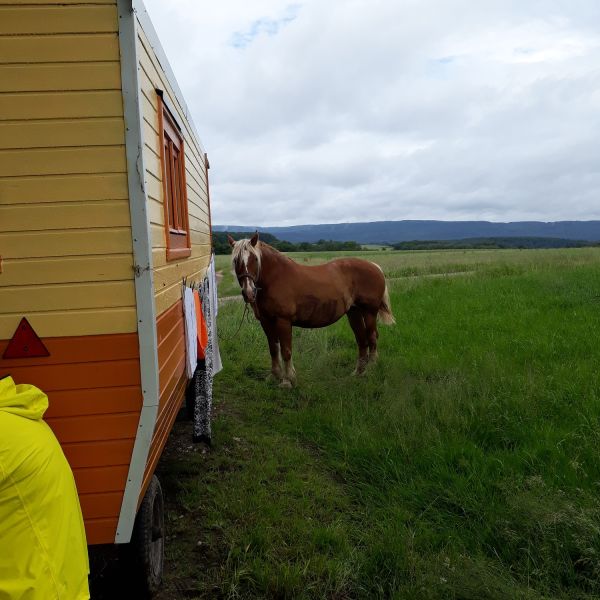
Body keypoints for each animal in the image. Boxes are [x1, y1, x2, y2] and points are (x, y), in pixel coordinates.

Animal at [227, 232, 396, 386]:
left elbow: (286, 351)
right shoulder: (266, 321)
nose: (249, 292)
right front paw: (275, 376)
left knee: (372, 337)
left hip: (369, 312)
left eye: (255, 259)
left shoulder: (283, 321)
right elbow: (273, 349)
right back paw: (358, 372)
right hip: (354, 312)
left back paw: (371, 369)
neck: (274, 279)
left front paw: (288, 380)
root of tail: (374, 266)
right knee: (362, 340)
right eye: (235, 260)